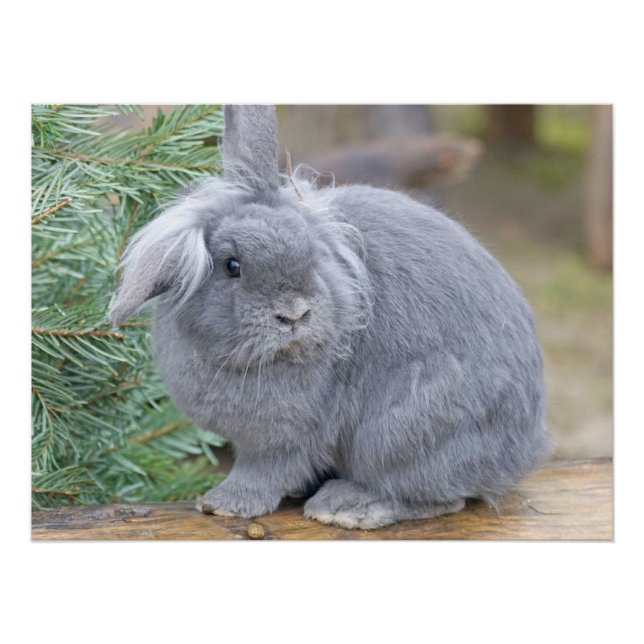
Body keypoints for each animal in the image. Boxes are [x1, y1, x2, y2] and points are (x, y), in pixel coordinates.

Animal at [110, 105, 551, 530]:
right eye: (232, 266)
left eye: (312, 255)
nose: (294, 314)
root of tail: (522, 449)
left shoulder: (283, 440)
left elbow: (264, 472)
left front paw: (224, 504)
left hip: (401, 433)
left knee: (438, 497)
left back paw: (348, 506)